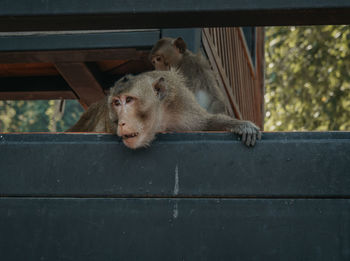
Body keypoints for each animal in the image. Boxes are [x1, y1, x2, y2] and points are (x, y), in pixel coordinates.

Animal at [106, 70, 260, 149]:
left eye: (129, 100)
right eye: (116, 102)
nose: (121, 122)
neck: (162, 118)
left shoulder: (183, 106)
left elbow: (206, 123)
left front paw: (240, 125)